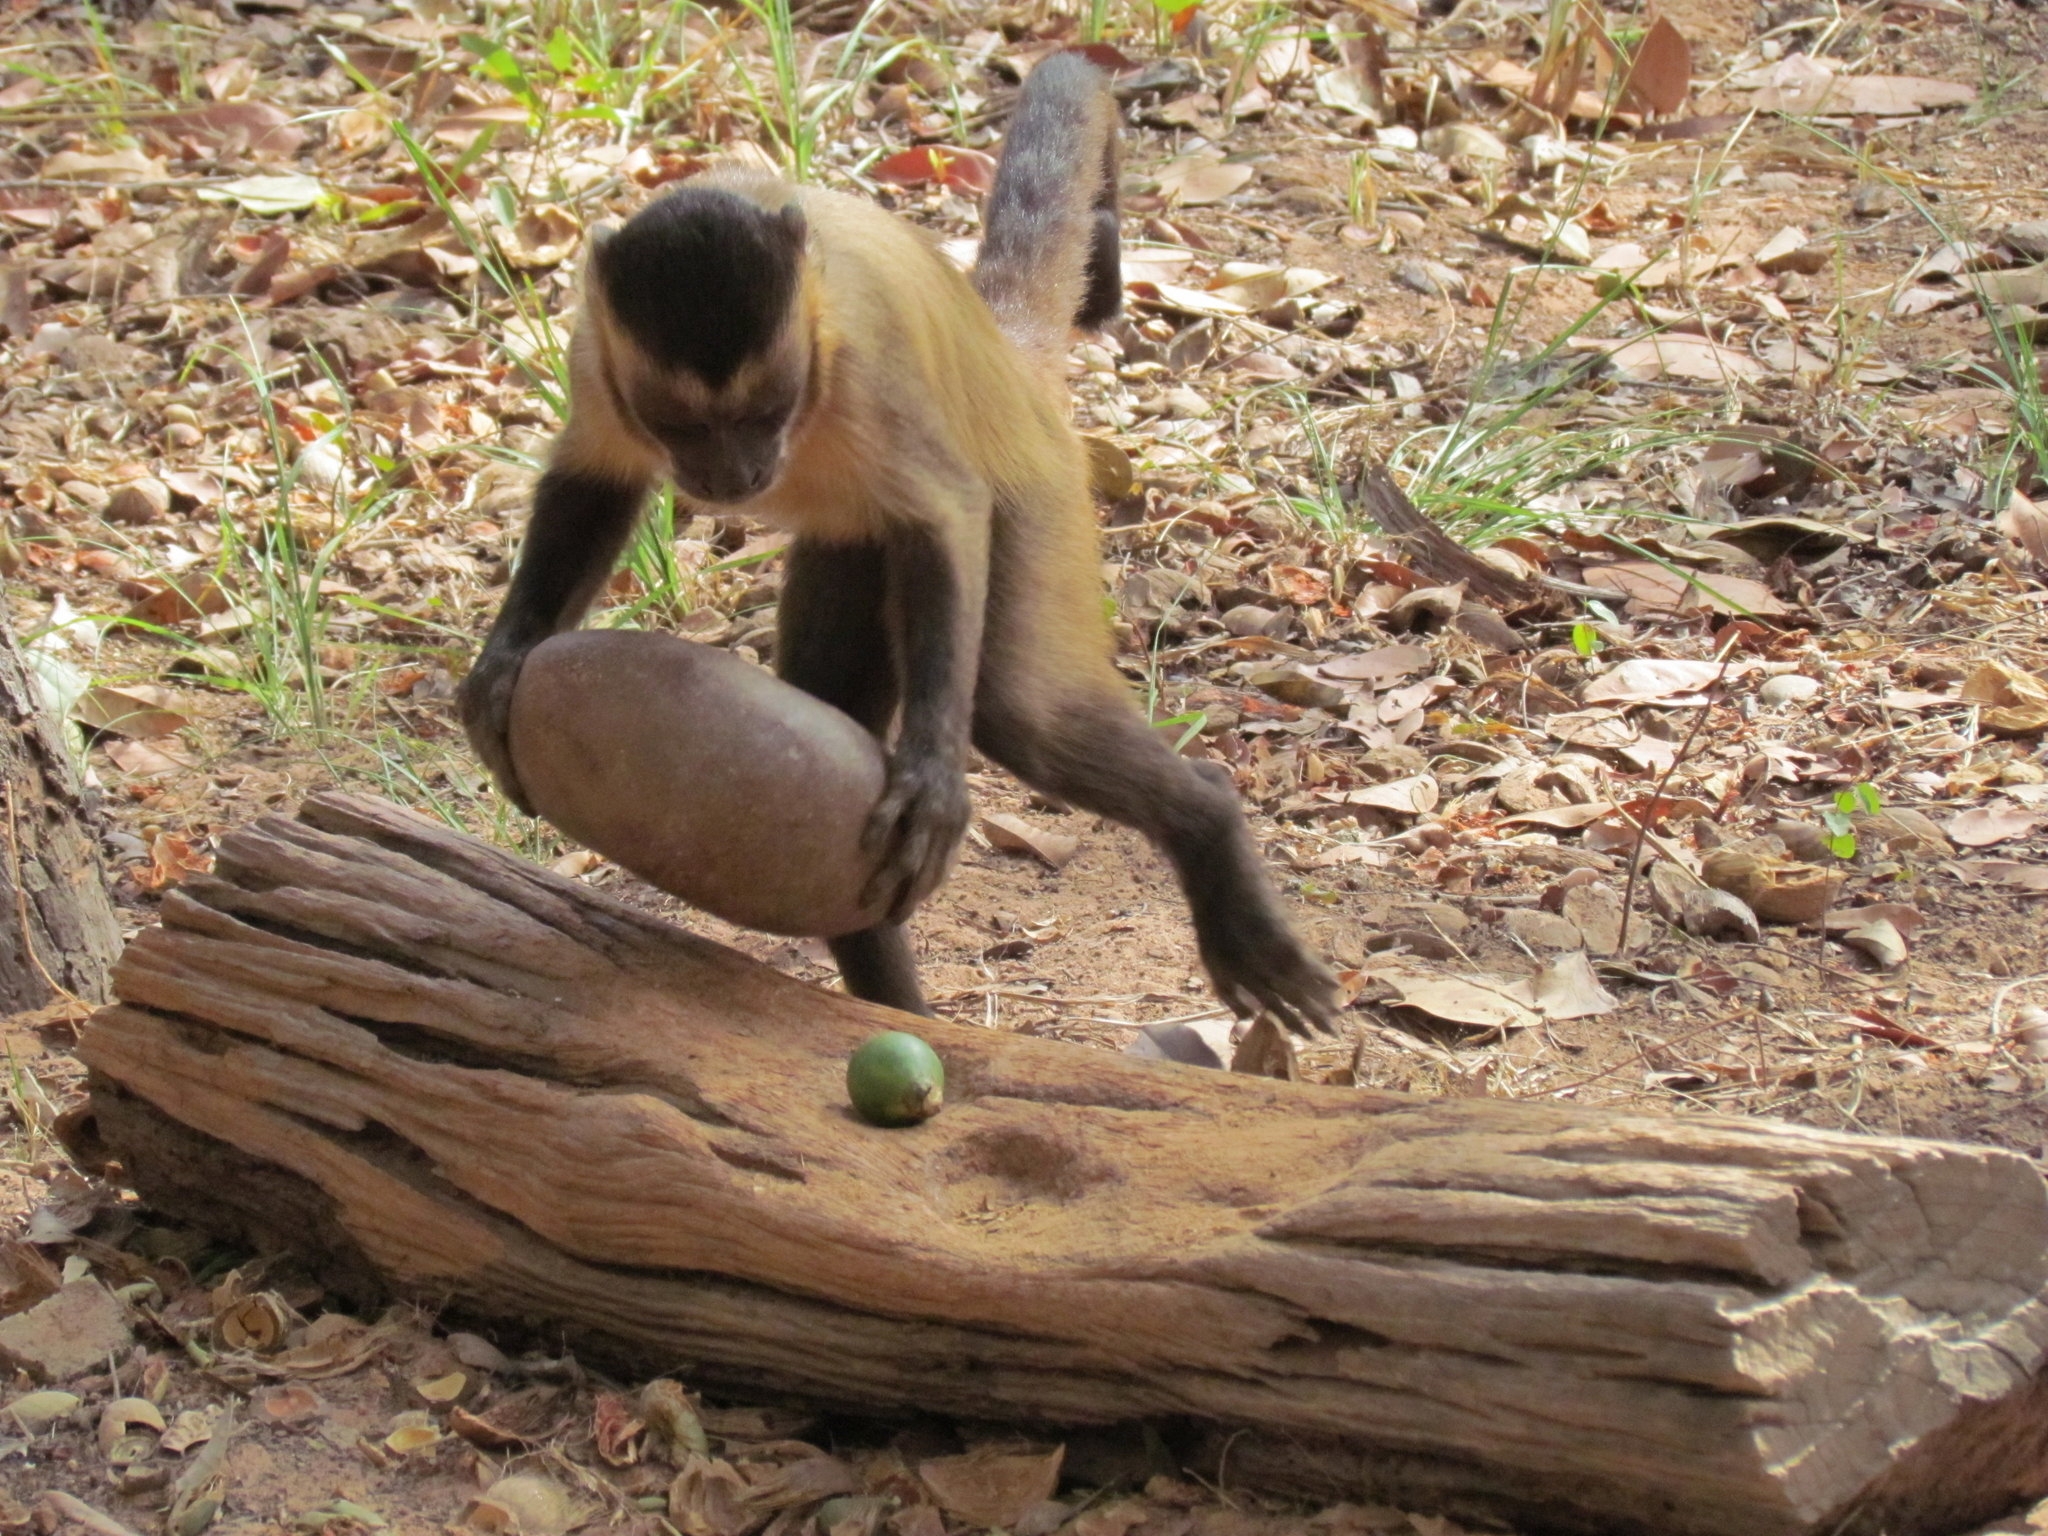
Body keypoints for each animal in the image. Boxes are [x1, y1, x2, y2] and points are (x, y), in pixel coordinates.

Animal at [458, 53, 1343, 1035]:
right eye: (680, 427)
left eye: (765, 413)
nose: (733, 476)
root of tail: (1005, 352)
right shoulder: (595, 346)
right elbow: (595, 478)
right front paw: (502, 665)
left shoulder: (866, 360)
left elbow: (944, 517)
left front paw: (931, 778)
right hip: (852, 545)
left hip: (1036, 484)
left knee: (1014, 703)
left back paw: (1205, 820)